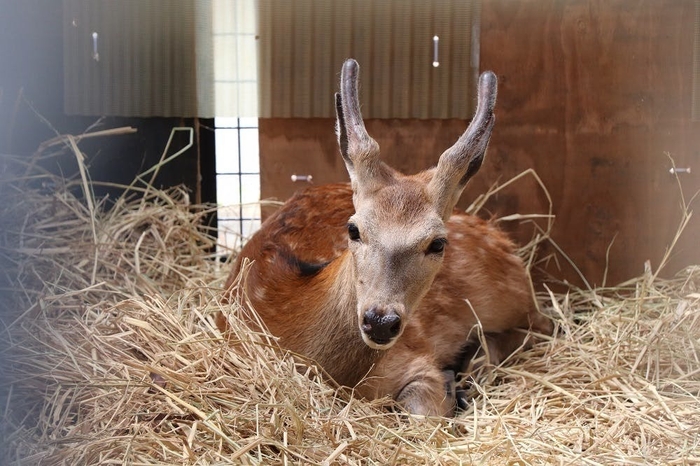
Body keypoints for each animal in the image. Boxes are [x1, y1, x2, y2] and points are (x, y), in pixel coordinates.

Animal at [216, 59, 556, 418]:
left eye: (438, 242)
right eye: (353, 229)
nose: (380, 321)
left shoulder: (417, 357)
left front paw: (452, 388)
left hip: (504, 294)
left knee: (542, 326)